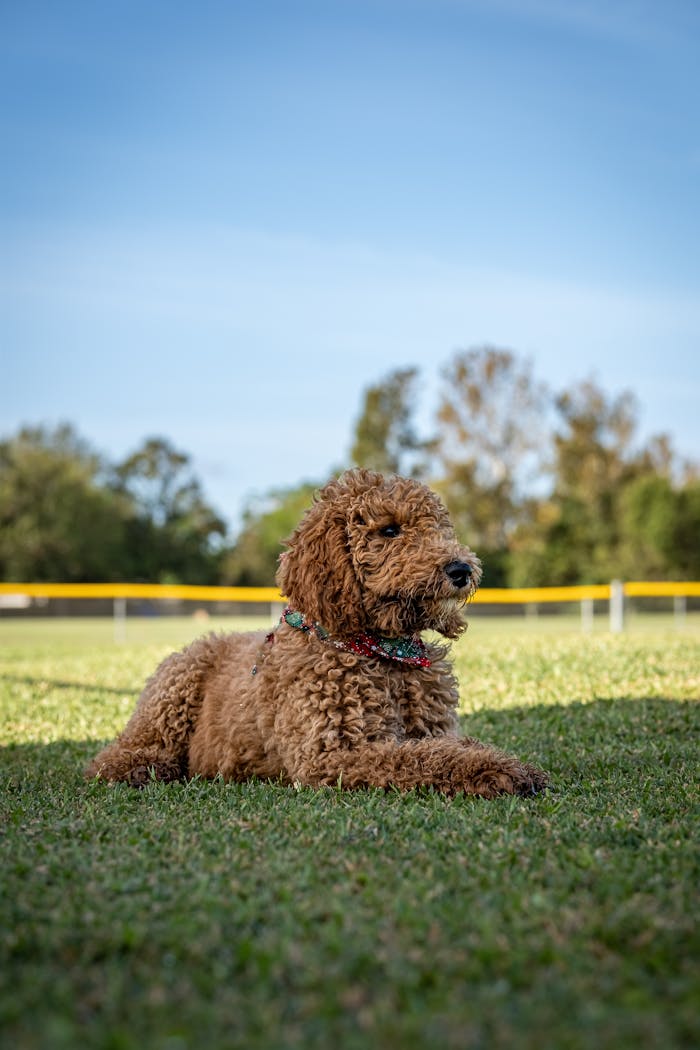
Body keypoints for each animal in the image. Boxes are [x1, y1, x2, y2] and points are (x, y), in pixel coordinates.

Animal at [87, 470, 545, 793]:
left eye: (438, 529)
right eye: (389, 530)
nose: (461, 569)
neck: (384, 653)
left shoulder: (433, 731)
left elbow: (446, 747)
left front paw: (503, 761)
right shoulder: (331, 755)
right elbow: (422, 760)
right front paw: (497, 770)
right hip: (173, 687)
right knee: (114, 754)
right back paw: (138, 767)